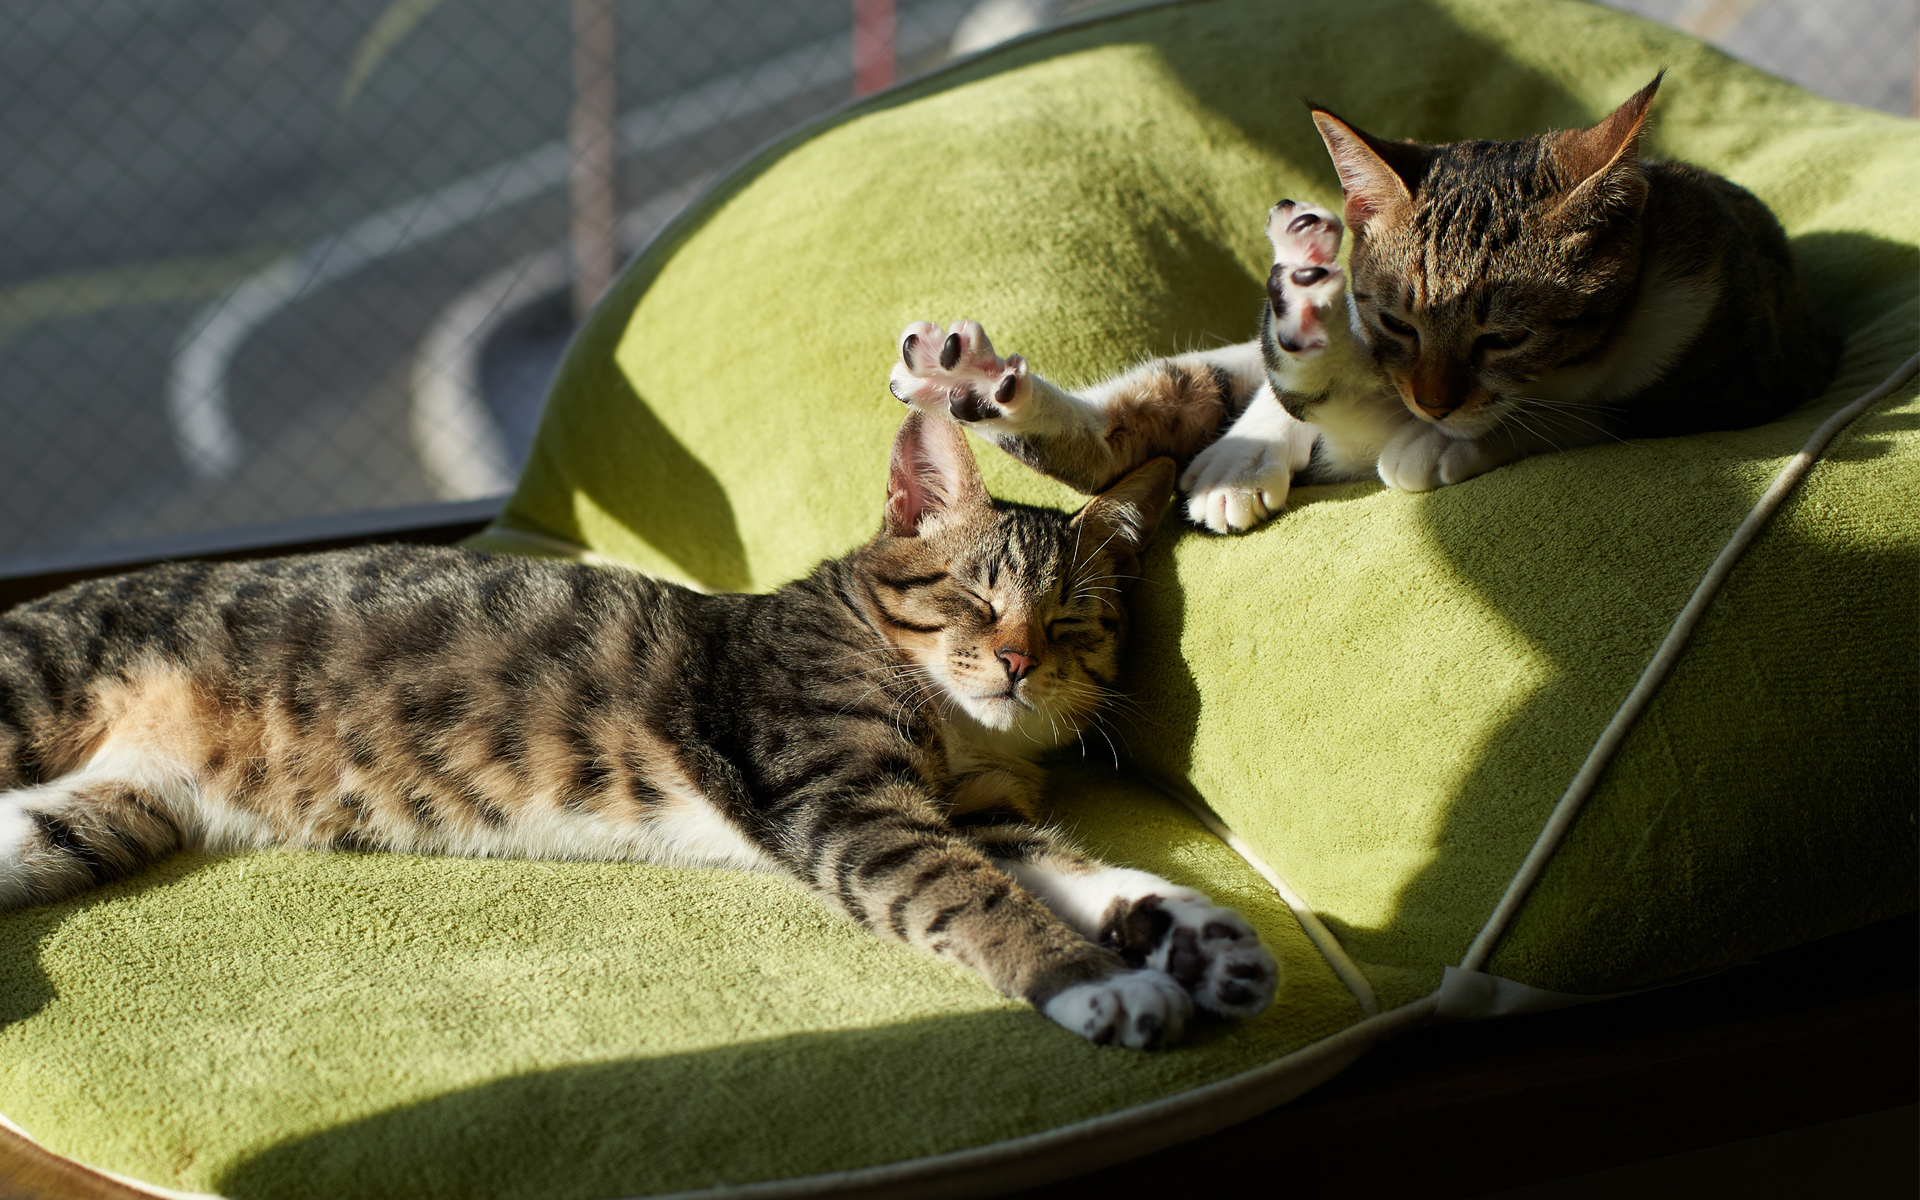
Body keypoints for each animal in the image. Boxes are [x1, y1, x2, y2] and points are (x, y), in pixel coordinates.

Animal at [0, 410, 1282, 1044]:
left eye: (1071, 621)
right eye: (975, 598)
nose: (1016, 664)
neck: (961, 731)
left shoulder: (974, 814)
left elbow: (1074, 867)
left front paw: (1193, 934)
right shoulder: (847, 802)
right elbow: (975, 899)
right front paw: (1100, 982)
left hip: (96, 818)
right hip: (35, 696)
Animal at [883, 70, 1827, 529]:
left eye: (1503, 338)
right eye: (1397, 321)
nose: (1434, 404)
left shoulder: (1719, 373)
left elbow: (1574, 415)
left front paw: (1444, 444)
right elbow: (1304, 392)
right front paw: (1266, 430)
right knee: (1126, 423)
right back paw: (965, 382)